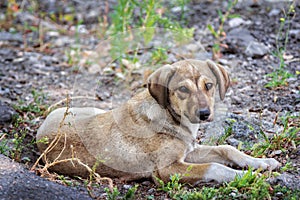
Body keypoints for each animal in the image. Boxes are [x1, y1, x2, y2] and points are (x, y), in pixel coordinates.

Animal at [36, 59, 280, 184]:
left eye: (209, 85)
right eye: (183, 89)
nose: (204, 113)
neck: (171, 117)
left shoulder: (189, 151)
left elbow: (227, 149)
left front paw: (261, 163)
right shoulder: (168, 169)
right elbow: (216, 167)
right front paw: (246, 176)